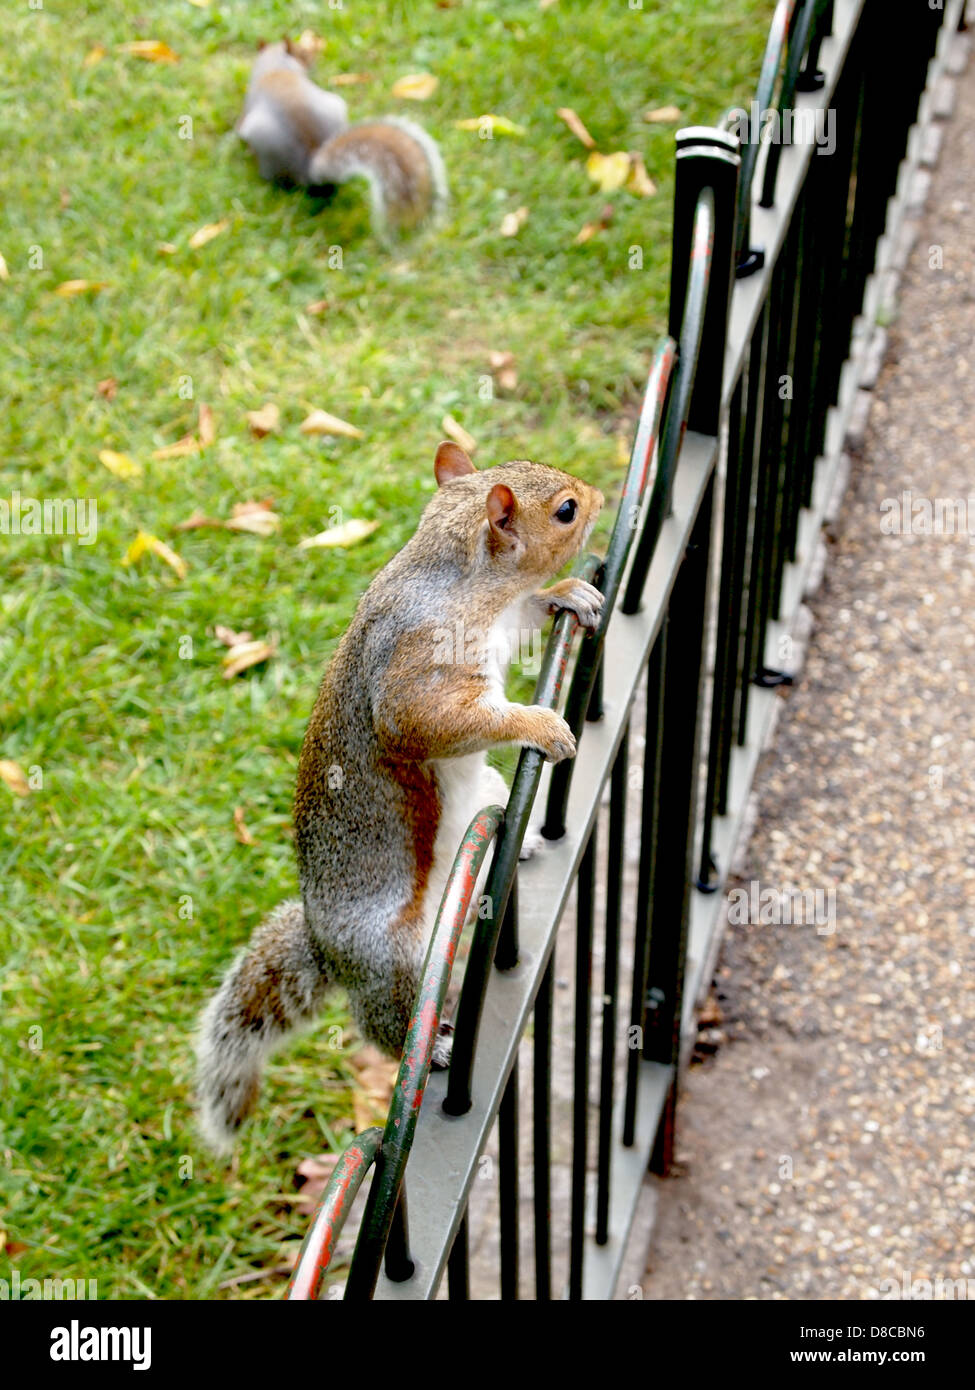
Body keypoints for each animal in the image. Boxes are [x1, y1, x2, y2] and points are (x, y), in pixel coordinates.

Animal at [196, 442, 600, 1150]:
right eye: (566, 510)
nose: (601, 497)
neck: (465, 583)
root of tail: (328, 950)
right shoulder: (421, 666)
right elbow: (431, 723)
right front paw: (541, 724)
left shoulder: (504, 621)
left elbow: (530, 614)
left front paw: (565, 594)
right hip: (395, 959)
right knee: (387, 1026)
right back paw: (433, 1050)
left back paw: (516, 847)